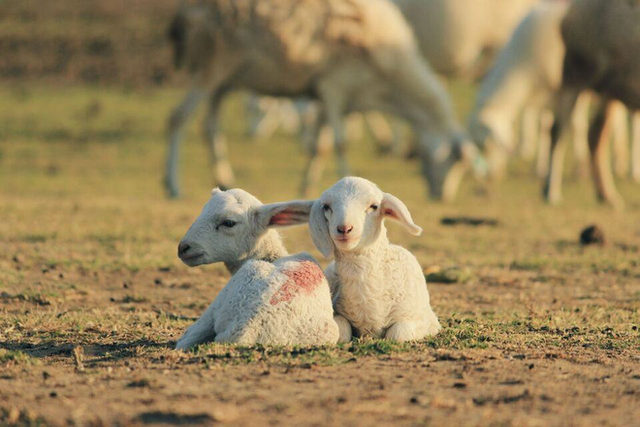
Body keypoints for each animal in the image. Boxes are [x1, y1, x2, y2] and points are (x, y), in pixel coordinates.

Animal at [162, 0, 478, 203]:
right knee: (177, 118)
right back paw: (173, 185)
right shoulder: (335, 86)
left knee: (209, 126)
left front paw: (307, 185)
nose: (442, 198)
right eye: (454, 162)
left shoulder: (330, 95)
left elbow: (320, 147)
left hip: (225, 80)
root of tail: (184, 13)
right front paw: (349, 183)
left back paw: (223, 177)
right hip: (211, 67)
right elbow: (340, 143)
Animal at [306, 177, 438, 344]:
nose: (344, 228)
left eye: (374, 206)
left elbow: (398, 333)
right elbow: (342, 330)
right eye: (326, 207)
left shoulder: (425, 320)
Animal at [544, 0, 640, 209]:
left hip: (610, 88)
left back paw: (607, 196)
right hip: (576, 72)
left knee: (595, 136)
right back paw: (550, 192)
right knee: (558, 130)